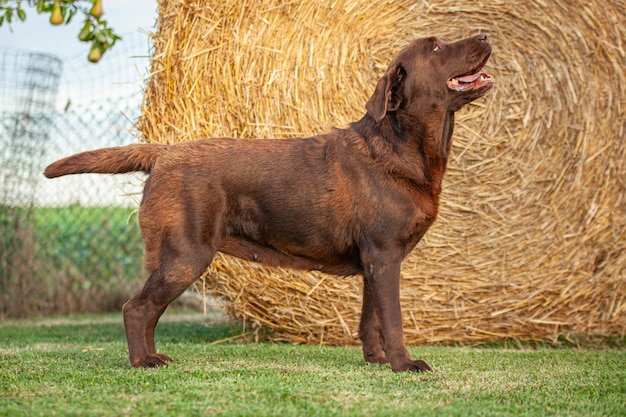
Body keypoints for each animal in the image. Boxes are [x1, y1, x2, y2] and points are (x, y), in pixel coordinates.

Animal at [45, 33, 492, 370]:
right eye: (436, 47)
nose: (485, 35)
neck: (402, 147)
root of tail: (164, 152)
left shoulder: (374, 261)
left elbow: (372, 321)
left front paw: (377, 361)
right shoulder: (384, 256)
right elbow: (393, 321)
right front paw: (404, 364)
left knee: (148, 311)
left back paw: (155, 356)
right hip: (185, 254)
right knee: (135, 309)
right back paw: (143, 362)